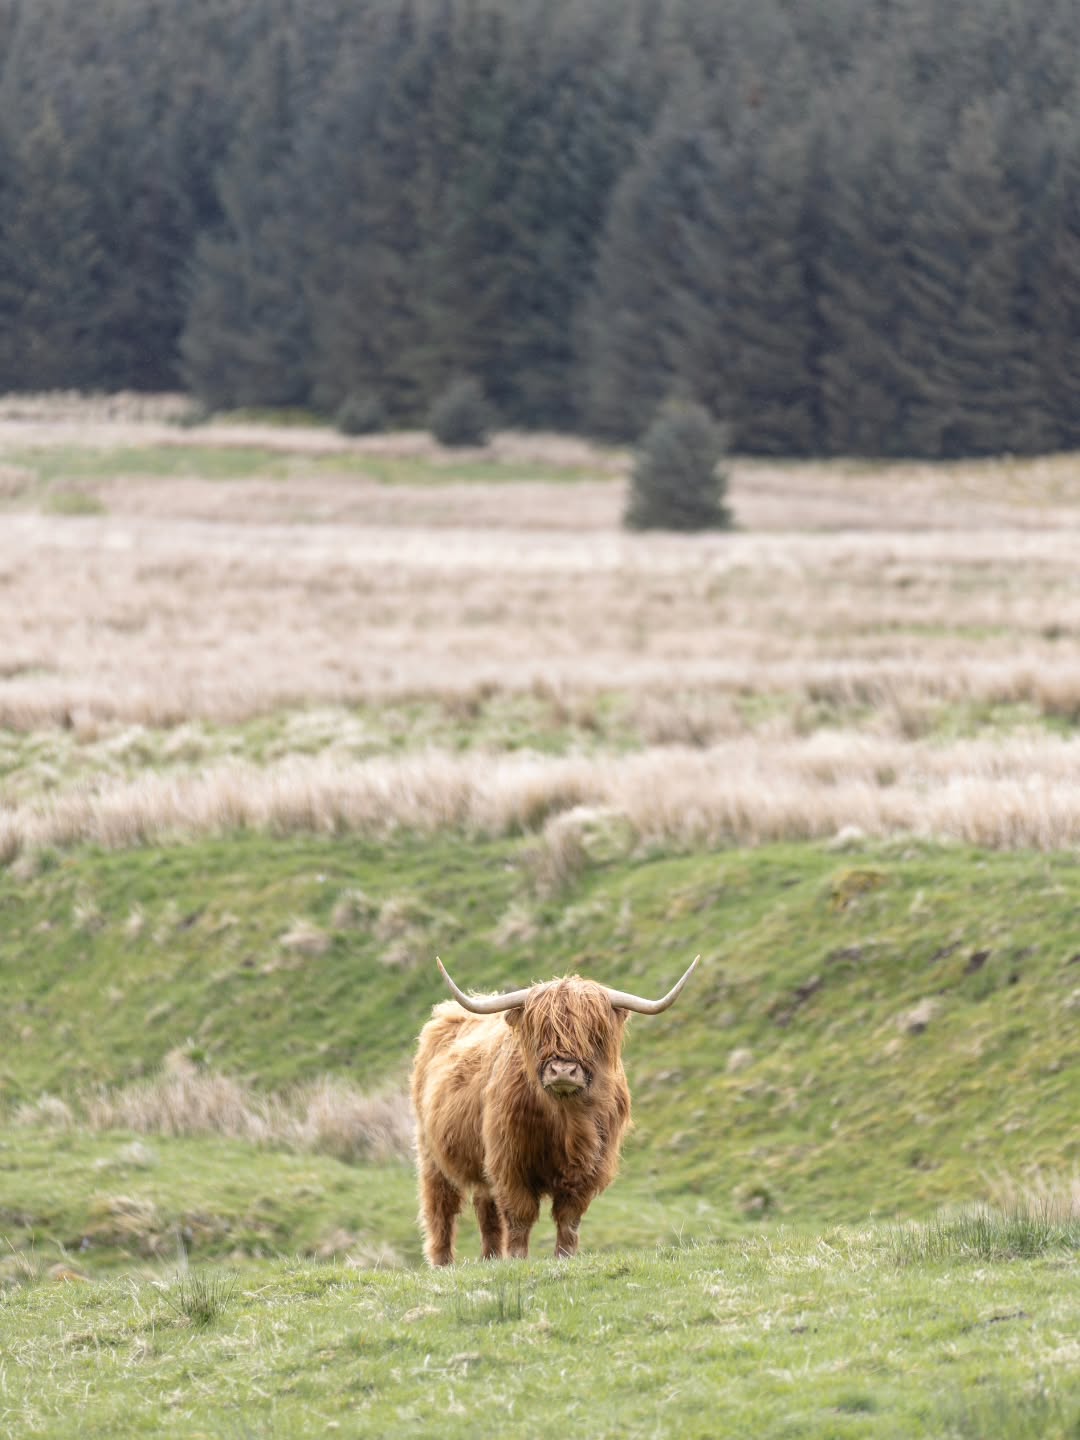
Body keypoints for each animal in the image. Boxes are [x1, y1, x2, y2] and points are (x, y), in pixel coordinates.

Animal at [410, 954, 699, 1265]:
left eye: (593, 1032)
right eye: (542, 1031)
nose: (562, 1070)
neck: (566, 1121)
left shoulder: (588, 1167)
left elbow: (569, 1218)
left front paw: (564, 1256)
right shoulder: (510, 1163)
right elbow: (520, 1216)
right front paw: (517, 1259)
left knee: (485, 1209)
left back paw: (490, 1259)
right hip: (432, 1154)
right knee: (441, 1209)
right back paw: (443, 1263)